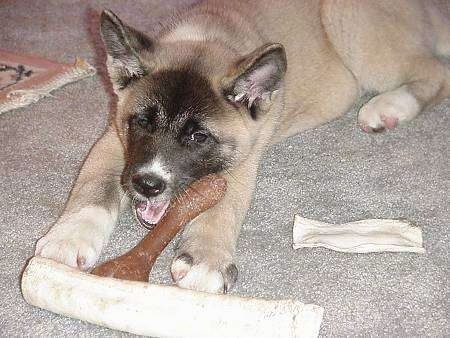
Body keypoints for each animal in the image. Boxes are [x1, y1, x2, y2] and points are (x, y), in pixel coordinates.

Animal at [34, 0, 450, 292]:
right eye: (142, 122)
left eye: (198, 137)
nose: (148, 185)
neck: (208, 38)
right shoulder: (114, 141)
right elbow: (93, 189)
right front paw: (68, 237)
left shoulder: (242, 157)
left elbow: (222, 207)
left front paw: (206, 258)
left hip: (354, 28)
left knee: (435, 71)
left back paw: (389, 107)